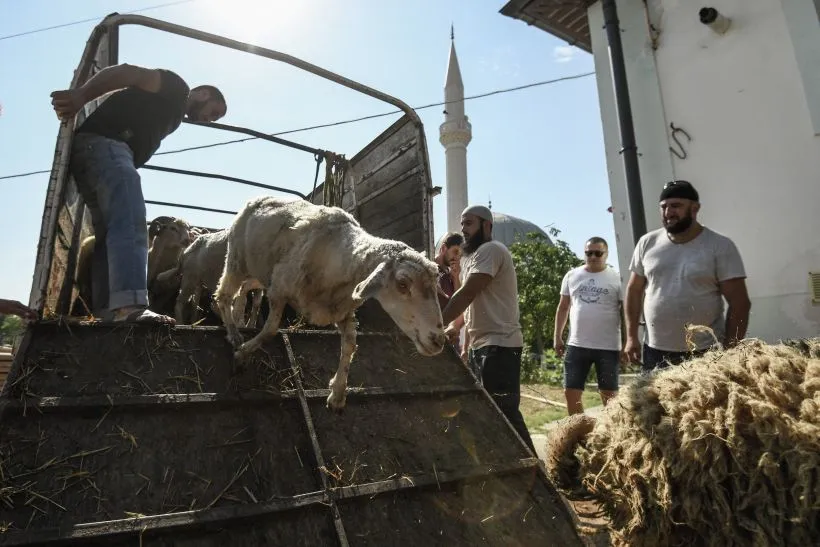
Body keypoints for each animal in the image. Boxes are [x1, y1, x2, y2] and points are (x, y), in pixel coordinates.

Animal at [211, 197, 442, 412]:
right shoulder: (279, 289)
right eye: (402, 284)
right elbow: (270, 330)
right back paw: (233, 332)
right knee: (223, 295)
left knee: (244, 288)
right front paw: (241, 354)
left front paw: (337, 393)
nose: (439, 341)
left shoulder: (341, 310)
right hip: (237, 259)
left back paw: (239, 318)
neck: (337, 257)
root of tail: (259, 198)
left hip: (260, 271)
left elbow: (350, 345)